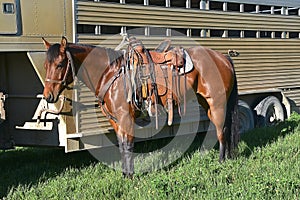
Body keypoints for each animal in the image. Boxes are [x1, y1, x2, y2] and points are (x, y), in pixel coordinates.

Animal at [42, 36, 239, 178]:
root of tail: (224, 57)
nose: (48, 96)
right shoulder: (116, 121)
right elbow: (122, 145)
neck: (110, 73)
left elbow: (128, 146)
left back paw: (221, 161)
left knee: (221, 131)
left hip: (217, 104)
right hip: (208, 104)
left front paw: (130, 176)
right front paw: (124, 174)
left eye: (60, 64)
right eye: (45, 65)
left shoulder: (125, 117)